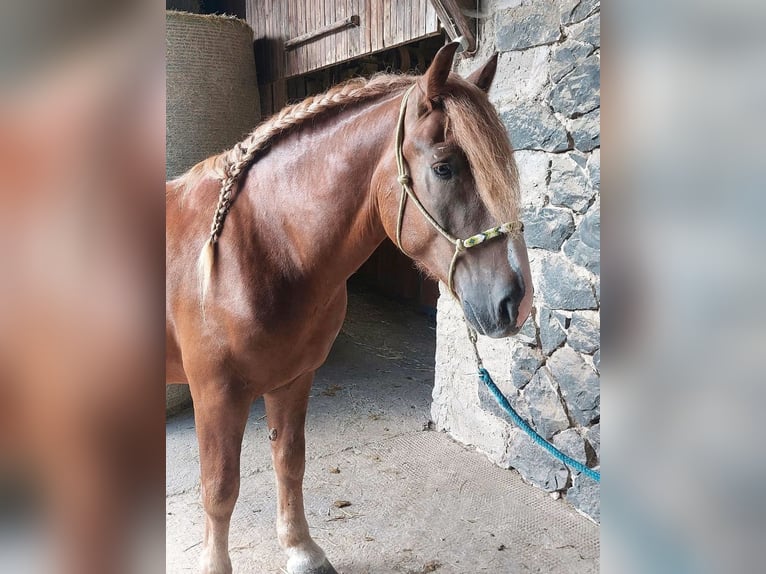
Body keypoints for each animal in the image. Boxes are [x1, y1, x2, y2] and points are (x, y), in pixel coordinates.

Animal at [166, 42, 533, 574]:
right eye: (444, 167)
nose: (515, 302)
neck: (255, 246)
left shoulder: (294, 379)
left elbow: (290, 462)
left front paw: (302, 549)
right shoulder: (216, 394)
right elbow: (219, 489)